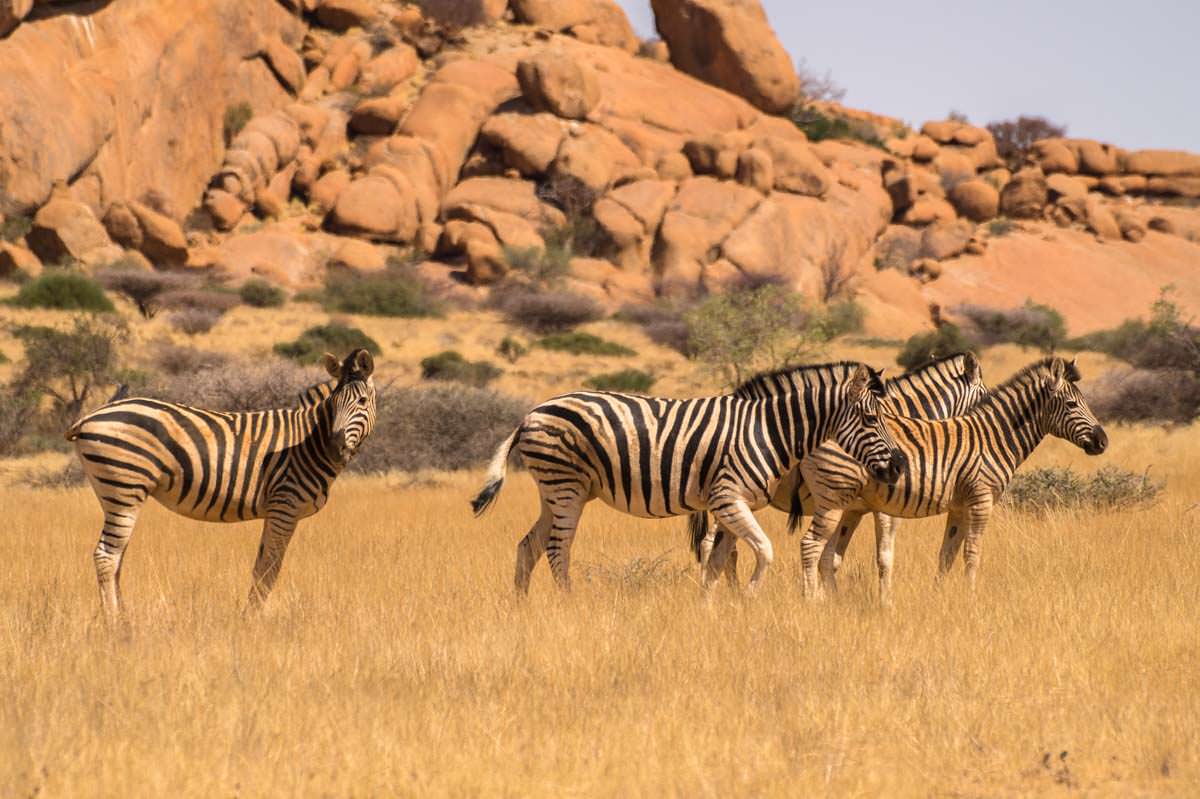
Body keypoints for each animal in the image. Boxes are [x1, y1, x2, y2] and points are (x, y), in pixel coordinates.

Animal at [65, 347, 374, 614]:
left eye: (361, 402)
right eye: (333, 404)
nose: (335, 448)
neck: (308, 442)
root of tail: (89, 417)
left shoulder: (278, 511)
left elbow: (261, 565)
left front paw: (248, 615)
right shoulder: (285, 505)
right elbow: (269, 569)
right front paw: (253, 619)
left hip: (114, 492)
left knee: (117, 556)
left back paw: (125, 618)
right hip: (124, 488)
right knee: (106, 556)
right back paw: (115, 623)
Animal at [468, 359, 902, 590]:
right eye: (871, 419)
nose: (899, 466)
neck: (768, 429)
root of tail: (531, 413)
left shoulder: (730, 506)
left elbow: (718, 561)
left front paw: (710, 608)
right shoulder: (728, 498)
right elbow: (763, 551)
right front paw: (750, 596)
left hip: (555, 490)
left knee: (528, 546)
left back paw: (523, 608)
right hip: (566, 486)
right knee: (558, 549)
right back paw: (567, 605)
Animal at [691, 352, 988, 583]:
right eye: (986, 396)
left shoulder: (851, 508)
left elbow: (831, 559)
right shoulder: (885, 508)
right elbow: (884, 558)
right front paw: (885, 605)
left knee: (722, 546)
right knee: (713, 545)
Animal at [792, 352, 1108, 599]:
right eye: (1072, 405)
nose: (1103, 441)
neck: (994, 437)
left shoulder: (958, 507)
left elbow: (947, 555)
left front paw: (939, 597)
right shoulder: (981, 500)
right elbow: (972, 552)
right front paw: (971, 597)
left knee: (825, 554)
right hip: (834, 497)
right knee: (811, 547)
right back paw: (812, 602)